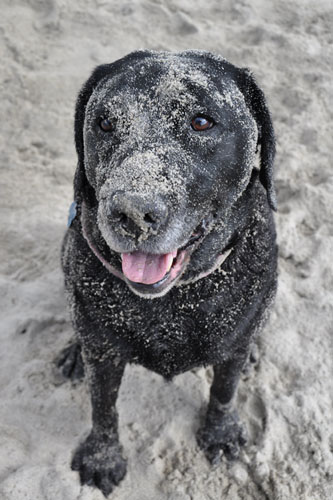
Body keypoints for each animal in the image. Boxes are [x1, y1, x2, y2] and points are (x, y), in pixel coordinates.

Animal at [59, 50, 278, 496]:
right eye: (104, 123)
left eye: (202, 121)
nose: (131, 211)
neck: (174, 300)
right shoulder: (103, 353)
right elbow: (102, 407)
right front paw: (101, 457)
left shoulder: (234, 345)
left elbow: (225, 388)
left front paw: (220, 433)